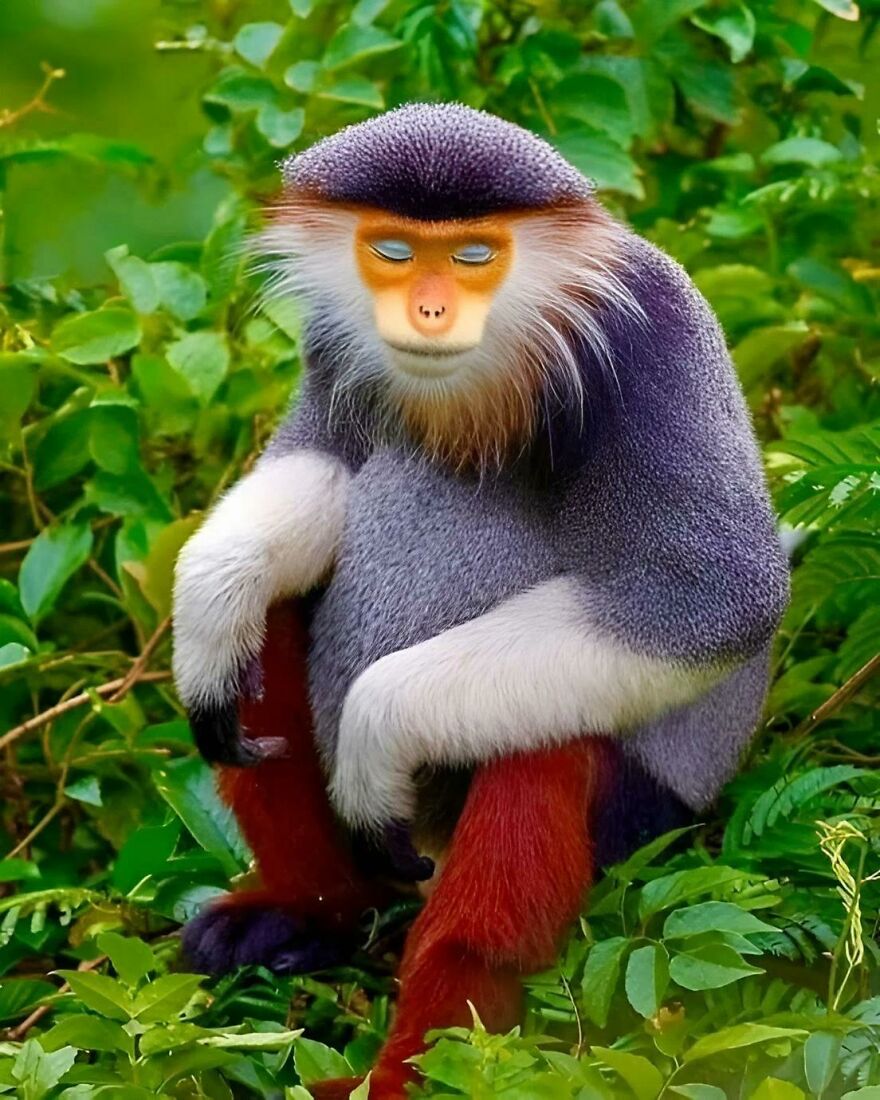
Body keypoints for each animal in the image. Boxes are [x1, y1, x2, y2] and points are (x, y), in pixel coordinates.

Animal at [172, 104, 789, 1098]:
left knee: (538, 756)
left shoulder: (651, 341)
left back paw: (421, 1065)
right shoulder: (332, 345)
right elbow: (320, 460)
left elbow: (715, 597)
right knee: (270, 628)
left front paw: (377, 729)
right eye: (392, 251)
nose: (429, 310)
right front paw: (213, 594)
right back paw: (313, 913)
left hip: (638, 823)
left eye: (472, 257)